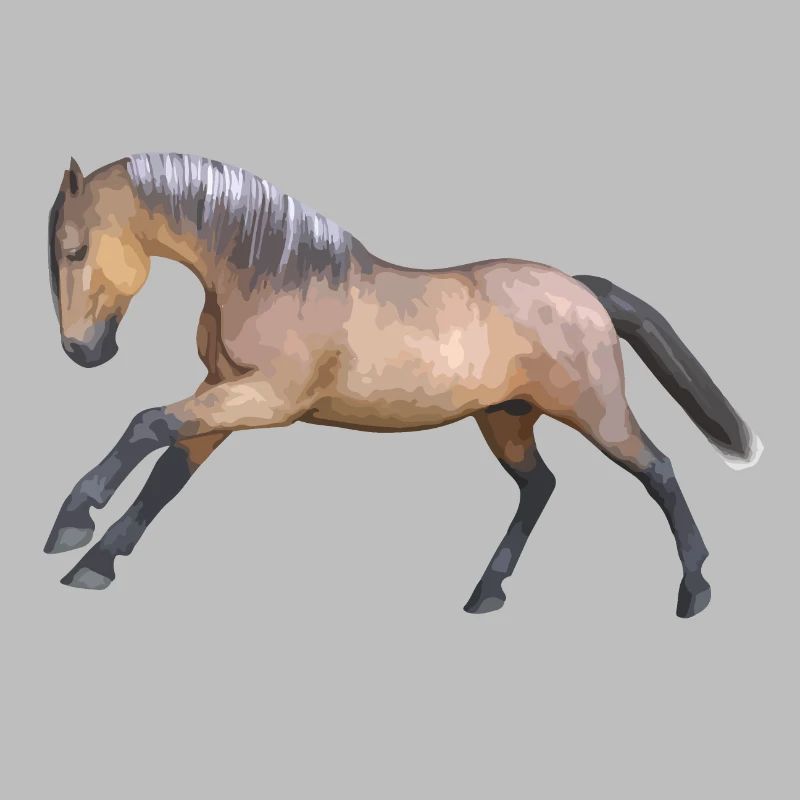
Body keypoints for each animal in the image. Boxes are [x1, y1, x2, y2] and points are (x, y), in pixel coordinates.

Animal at [44, 153, 762, 617]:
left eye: (74, 250)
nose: (83, 352)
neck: (272, 273)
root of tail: (582, 290)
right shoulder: (224, 395)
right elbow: (169, 472)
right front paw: (93, 564)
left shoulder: (268, 399)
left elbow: (147, 422)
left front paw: (72, 524)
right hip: (506, 419)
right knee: (541, 487)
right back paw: (486, 593)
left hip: (596, 412)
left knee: (658, 470)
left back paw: (694, 592)